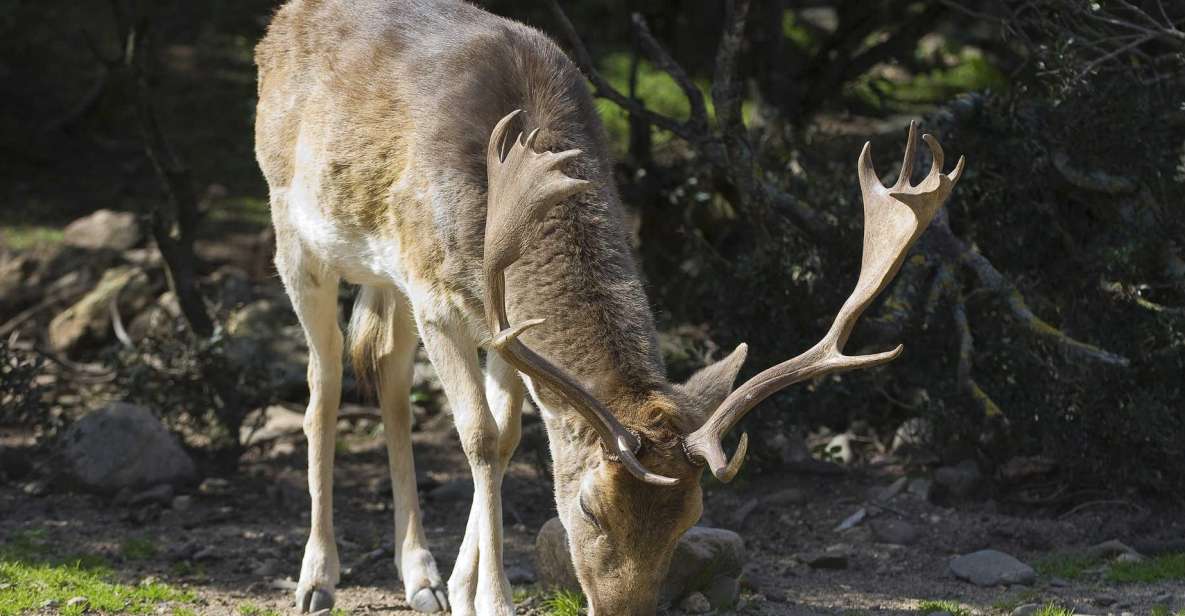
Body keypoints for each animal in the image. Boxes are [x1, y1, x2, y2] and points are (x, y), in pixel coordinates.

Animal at [254, 2, 966, 611]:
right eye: (589, 510)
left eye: (692, 517)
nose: (626, 608)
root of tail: (280, 22)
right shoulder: (437, 295)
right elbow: (479, 437)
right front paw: (494, 601)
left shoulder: (497, 324)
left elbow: (509, 438)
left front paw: (460, 589)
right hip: (293, 230)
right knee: (325, 381)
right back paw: (317, 580)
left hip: (386, 280)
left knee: (390, 375)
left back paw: (420, 578)